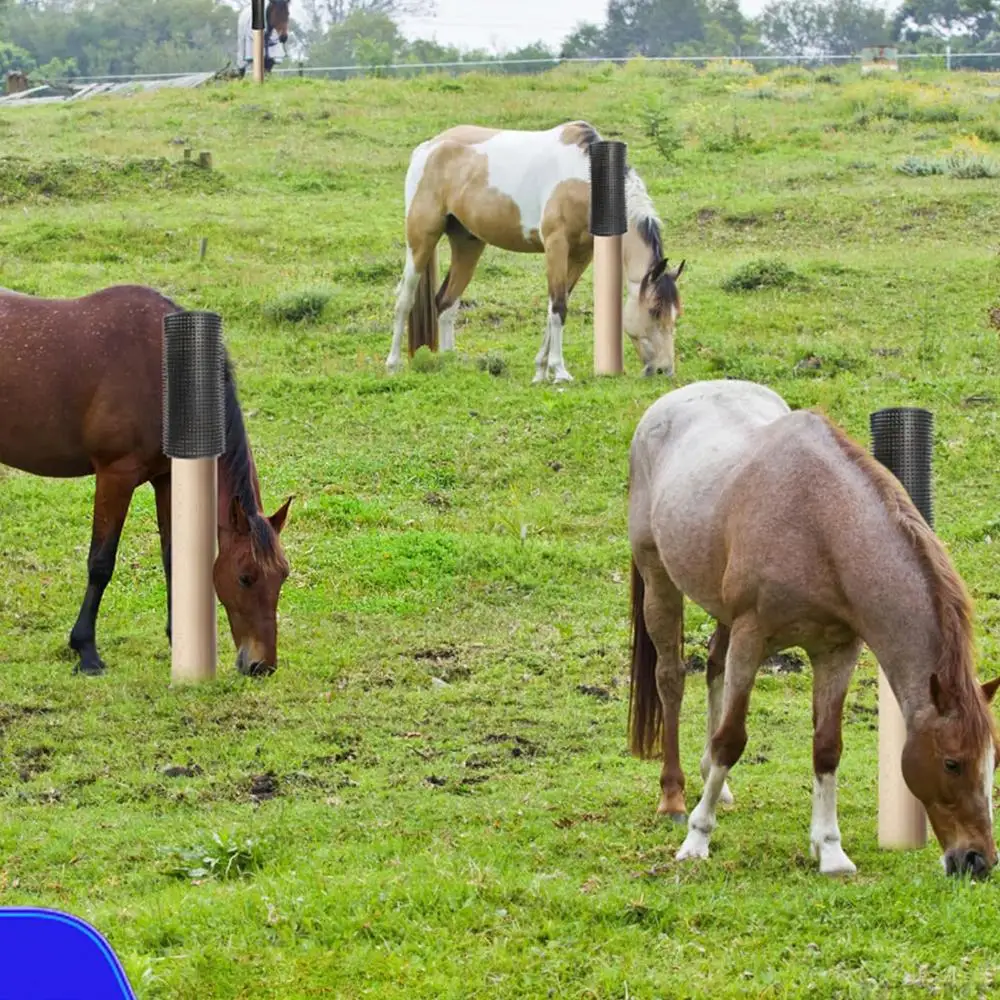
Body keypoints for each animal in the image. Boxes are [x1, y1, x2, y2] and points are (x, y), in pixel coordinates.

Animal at [0, 284, 292, 677]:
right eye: (246, 577)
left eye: (283, 575)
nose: (262, 666)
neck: (164, 374)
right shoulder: (115, 475)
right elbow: (101, 562)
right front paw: (86, 650)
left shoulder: (167, 478)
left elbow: (174, 558)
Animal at [386, 120, 685, 383]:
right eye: (654, 311)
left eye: (675, 313)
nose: (664, 370)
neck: (585, 179)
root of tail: (428, 147)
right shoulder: (556, 245)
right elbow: (559, 307)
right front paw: (559, 371)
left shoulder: (582, 255)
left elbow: (555, 305)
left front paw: (541, 370)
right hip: (421, 238)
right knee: (405, 298)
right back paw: (393, 363)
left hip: (468, 244)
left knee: (446, 302)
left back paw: (449, 361)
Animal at [627, 379, 999, 878]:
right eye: (953, 763)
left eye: (993, 760)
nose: (978, 860)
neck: (820, 526)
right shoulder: (753, 637)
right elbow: (732, 739)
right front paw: (697, 838)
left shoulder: (837, 650)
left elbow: (827, 747)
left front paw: (830, 850)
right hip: (658, 579)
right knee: (671, 677)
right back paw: (673, 797)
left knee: (713, 667)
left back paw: (716, 787)